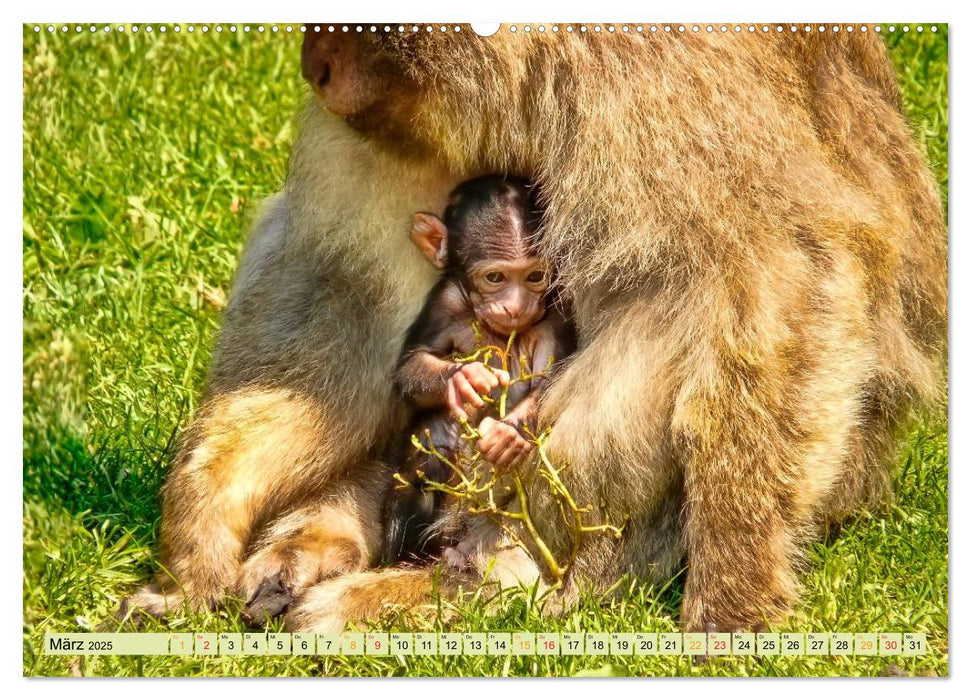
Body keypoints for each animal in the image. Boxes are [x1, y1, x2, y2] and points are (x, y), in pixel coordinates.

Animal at [382, 175, 576, 564]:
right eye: (496, 277)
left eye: (535, 276)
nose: (516, 306)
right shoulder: (445, 300)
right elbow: (412, 364)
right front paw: (462, 380)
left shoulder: (556, 311)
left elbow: (550, 380)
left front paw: (508, 433)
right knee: (427, 459)